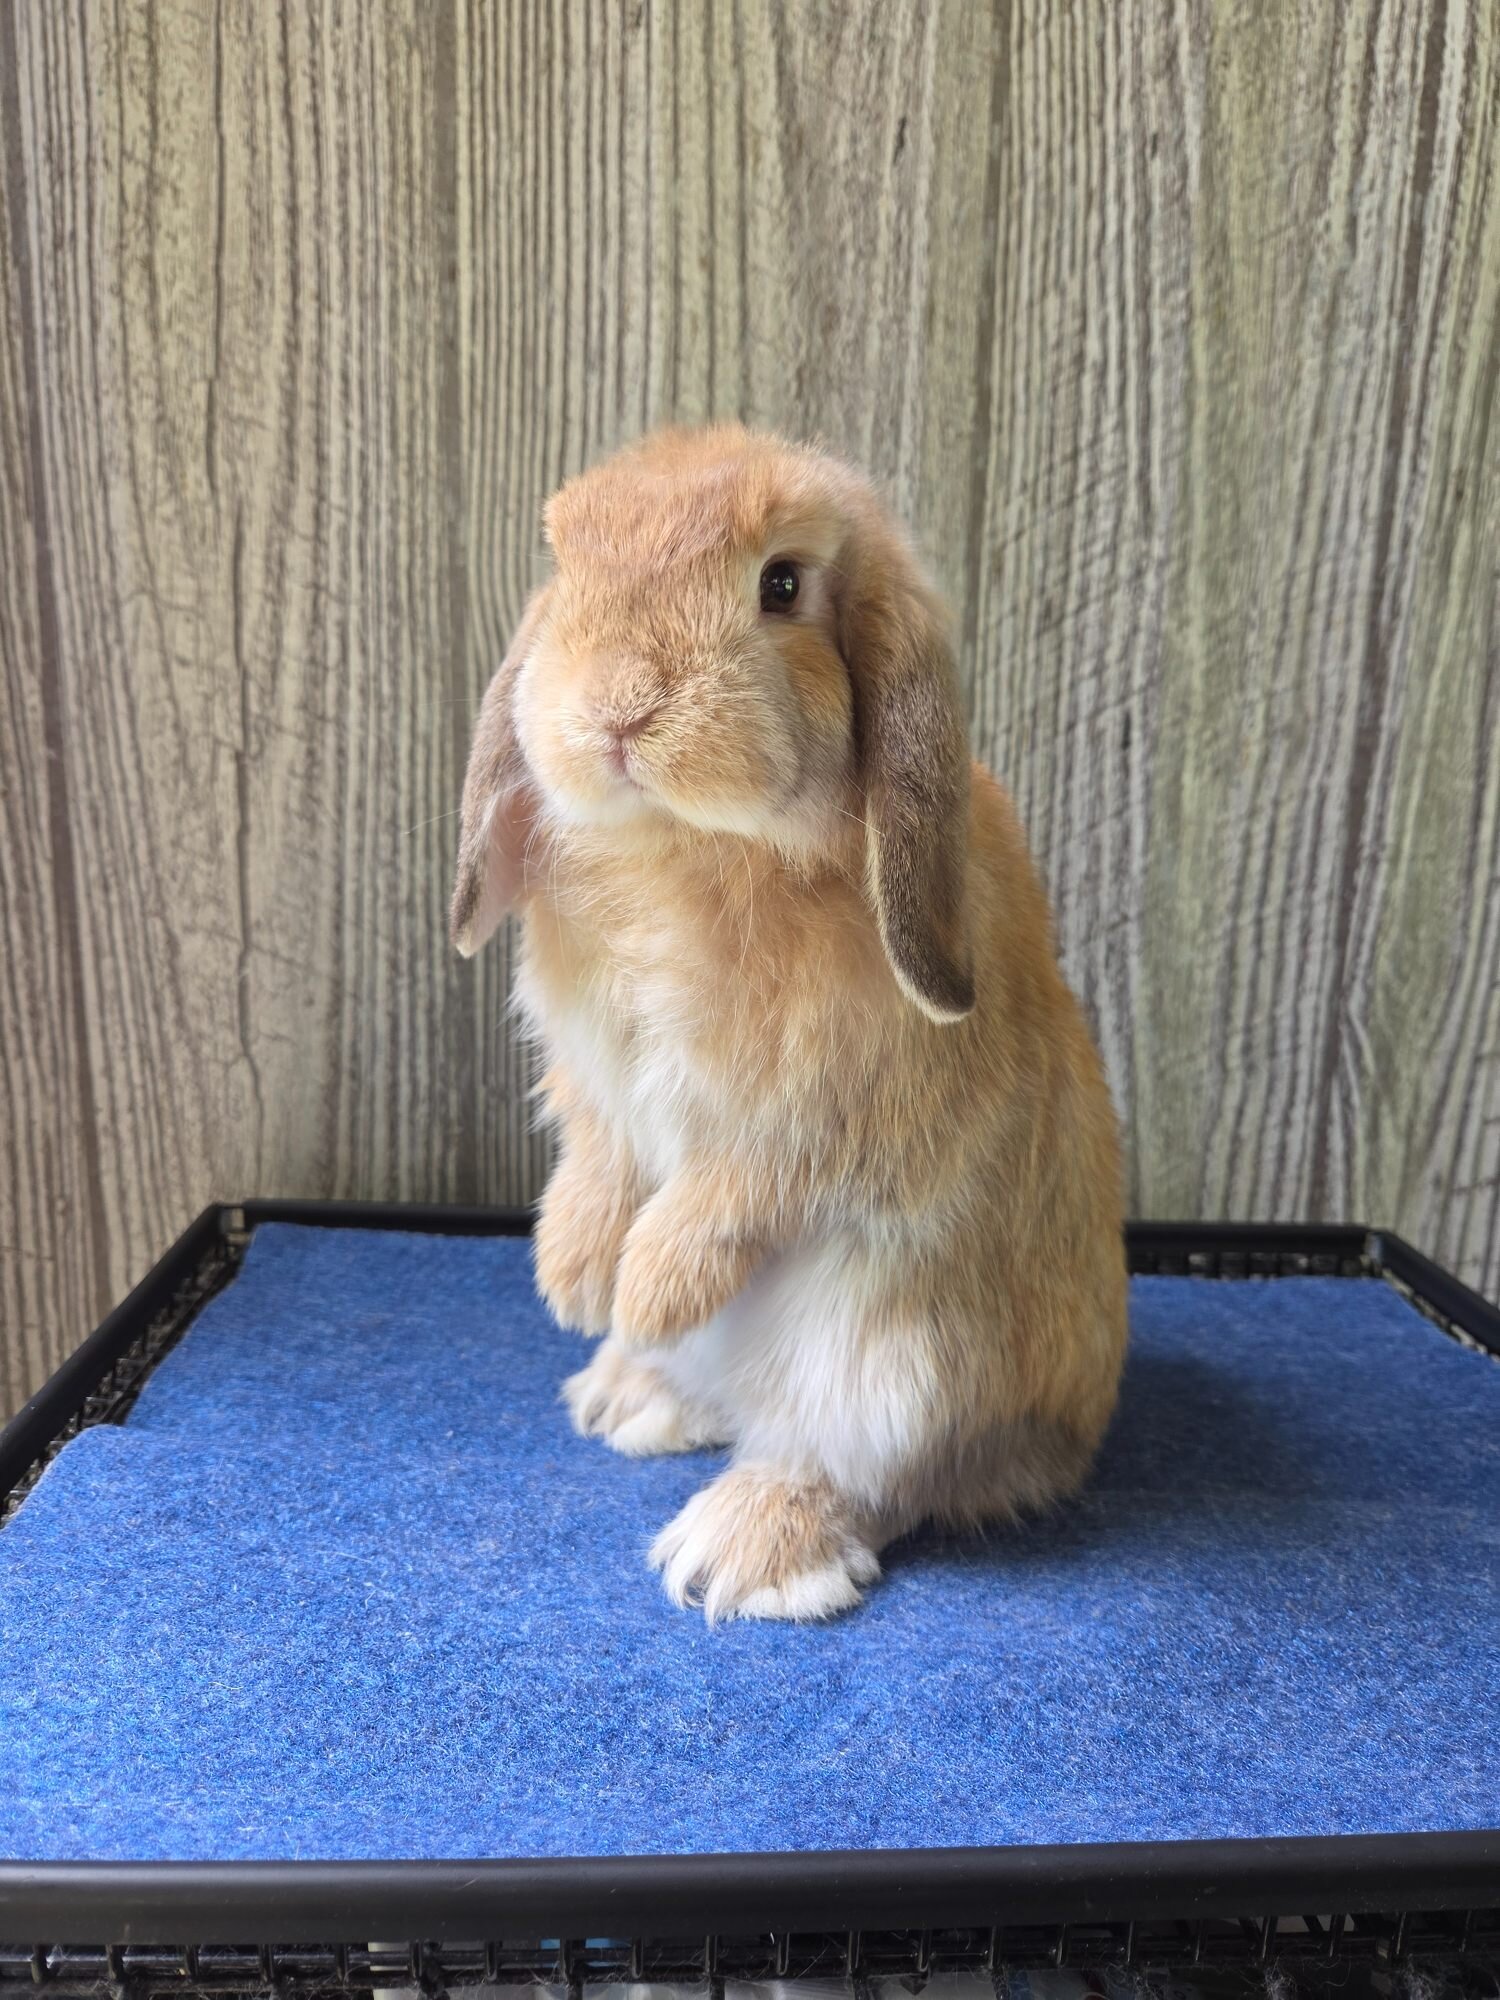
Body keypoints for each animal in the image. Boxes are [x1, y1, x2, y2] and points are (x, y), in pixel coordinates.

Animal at [451, 425, 1127, 1622]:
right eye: (565, 563)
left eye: (781, 584)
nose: (619, 709)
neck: (688, 843)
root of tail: (1066, 1436)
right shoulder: (594, 1079)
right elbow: (599, 1157)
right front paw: (575, 1280)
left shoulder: (832, 1112)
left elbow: (736, 1188)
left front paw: (645, 1287)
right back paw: (628, 1394)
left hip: (895, 1361)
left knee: (869, 1476)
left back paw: (744, 1545)